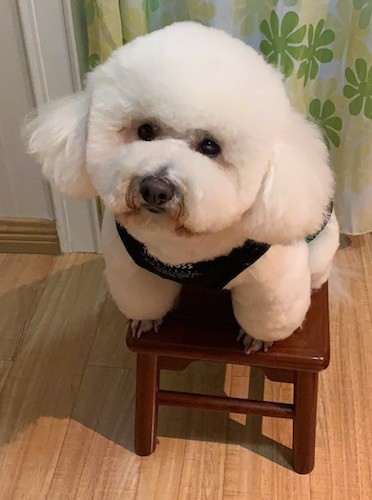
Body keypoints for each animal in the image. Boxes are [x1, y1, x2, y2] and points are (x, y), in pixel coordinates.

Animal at [26, 22, 340, 352]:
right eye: (145, 131)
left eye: (210, 146)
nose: (155, 189)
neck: (184, 252)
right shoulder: (132, 268)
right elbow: (143, 298)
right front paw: (147, 319)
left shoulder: (271, 283)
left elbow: (267, 315)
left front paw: (258, 338)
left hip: (319, 254)